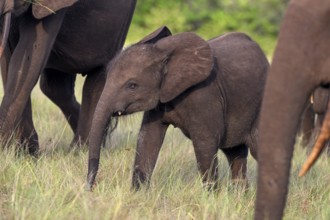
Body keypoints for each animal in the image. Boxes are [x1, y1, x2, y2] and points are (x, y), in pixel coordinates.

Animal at [0, 0, 136, 155]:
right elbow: (10, 61)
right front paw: (26, 152)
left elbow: (29, 58)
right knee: (56, 90)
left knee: (95, 82)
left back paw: (79, 151)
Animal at [87, 26, 268, 191]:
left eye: (132, 85)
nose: (90, 188)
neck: (162, 55)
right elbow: (148, 139)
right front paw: (138, 194)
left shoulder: (204, 94)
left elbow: (205, 142)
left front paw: (210, 198)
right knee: (235, 154)